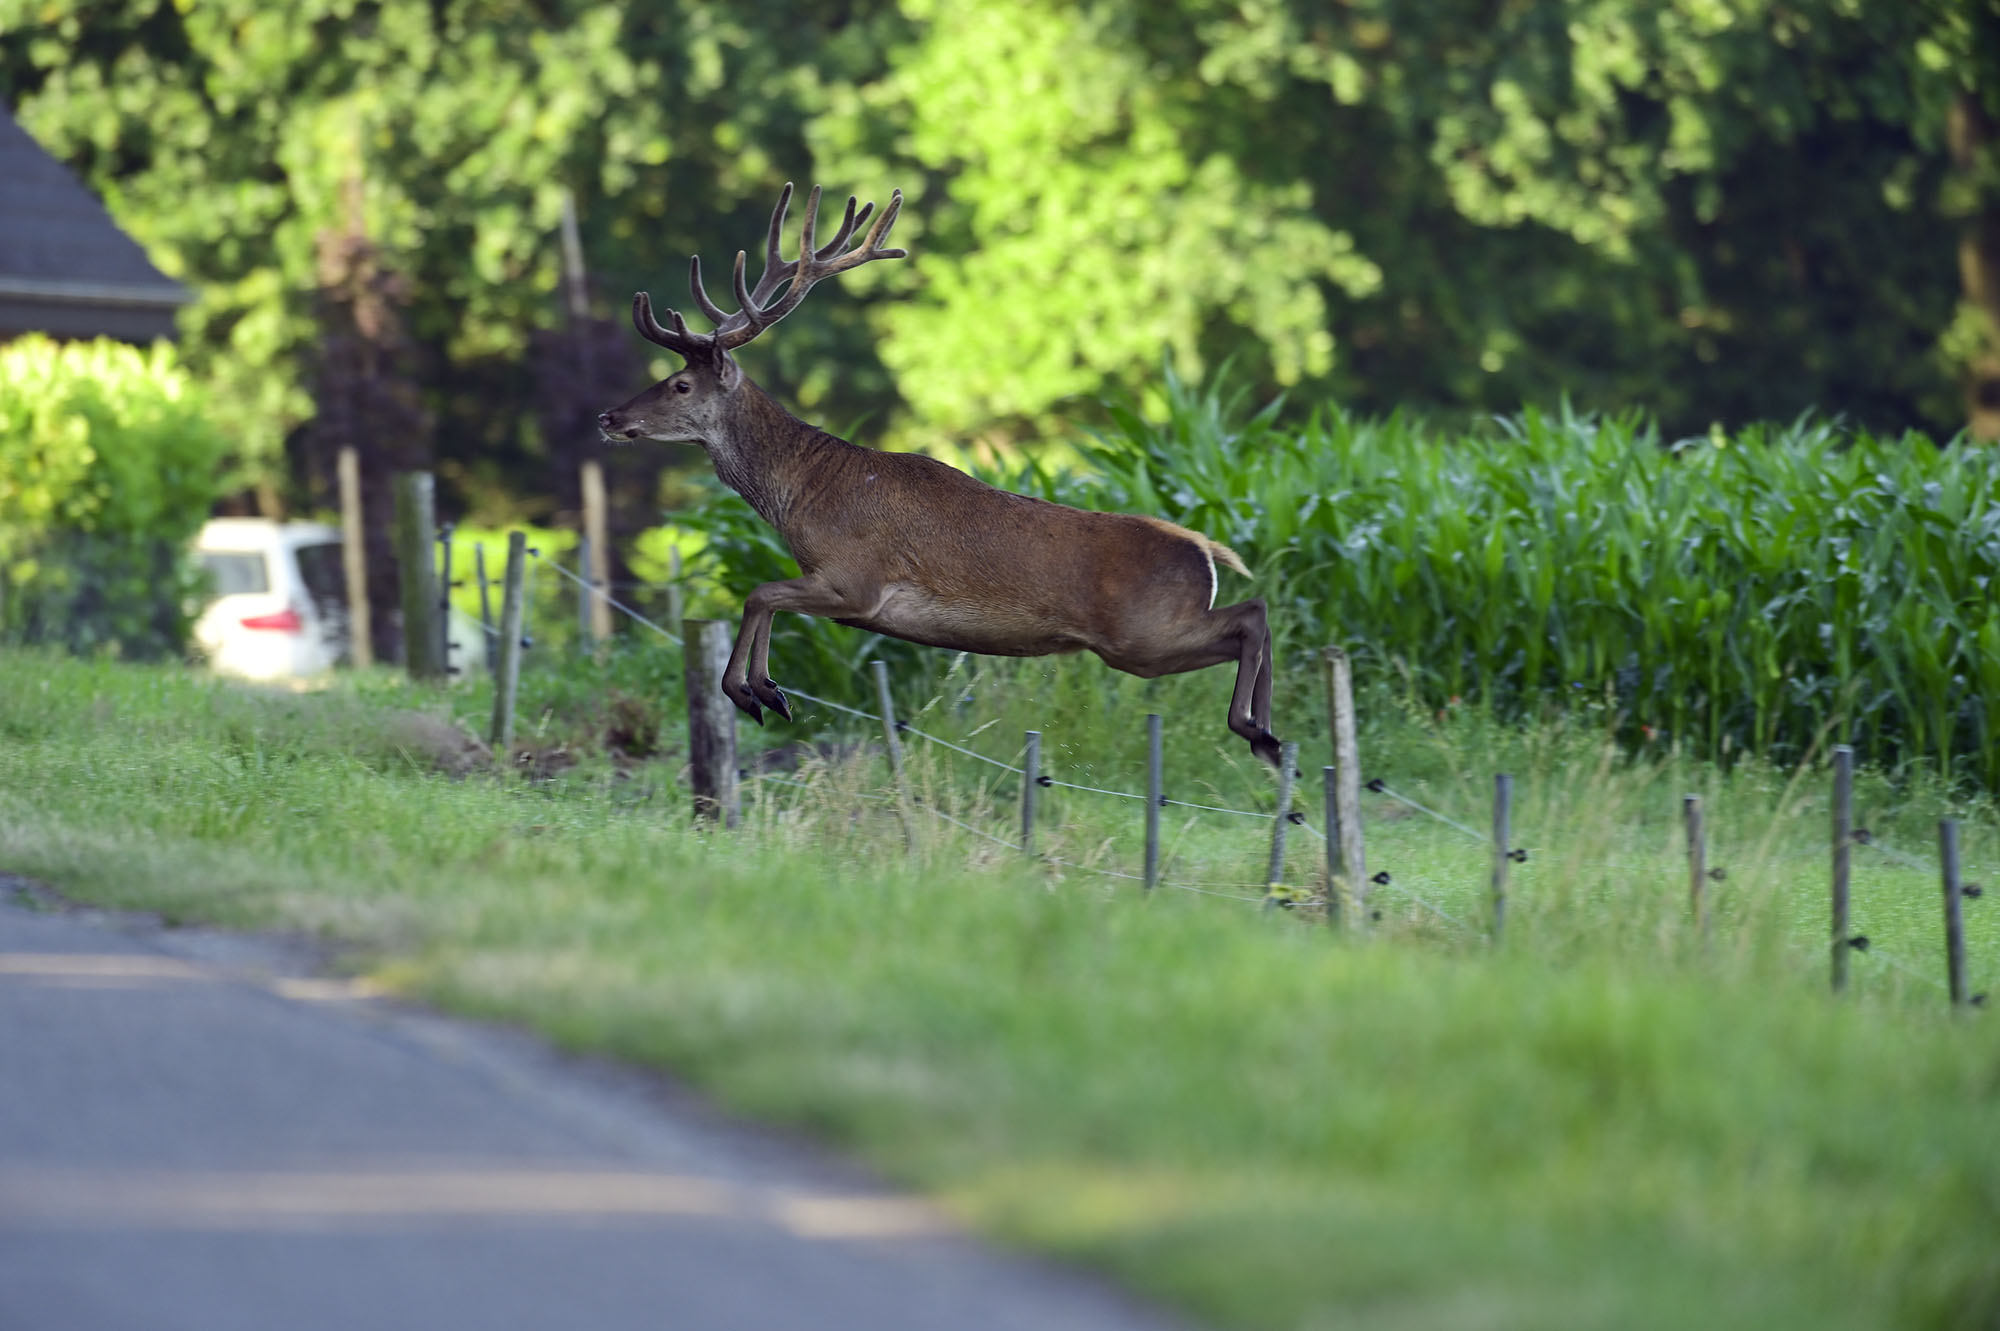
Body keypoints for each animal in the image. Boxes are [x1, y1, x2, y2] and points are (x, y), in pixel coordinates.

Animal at [596, 187, 1280, 767]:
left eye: (679, 384)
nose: (608, 416)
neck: (803, 495)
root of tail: (1205, 548)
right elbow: (763, 597)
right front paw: (767, 691)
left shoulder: (857, 582)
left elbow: (759, 593)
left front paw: (754, 691)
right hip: (1144, 640)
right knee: (1250, 618)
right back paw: (1267, 738)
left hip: (1142, 633)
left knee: (1252, 611)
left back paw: (1256, 730)